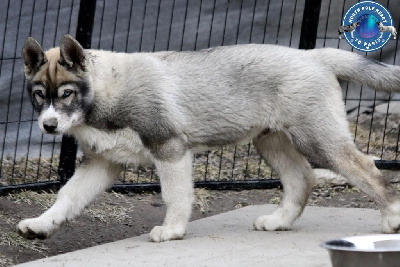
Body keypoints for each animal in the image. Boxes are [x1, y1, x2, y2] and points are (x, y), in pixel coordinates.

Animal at [16, 34, 400, 243]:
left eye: (66, 94)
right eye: (39, 95)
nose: (49, 126)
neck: (106, 93)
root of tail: (313, 54)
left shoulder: (169, 149)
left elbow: (175, 196)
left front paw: (171, 230)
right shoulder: (102, 162)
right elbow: (67, 196)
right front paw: (41, 225)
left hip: (318, 139)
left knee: (365, 167)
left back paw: (392, 217)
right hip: (271, 140)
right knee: (302, 178)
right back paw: (279, 221)